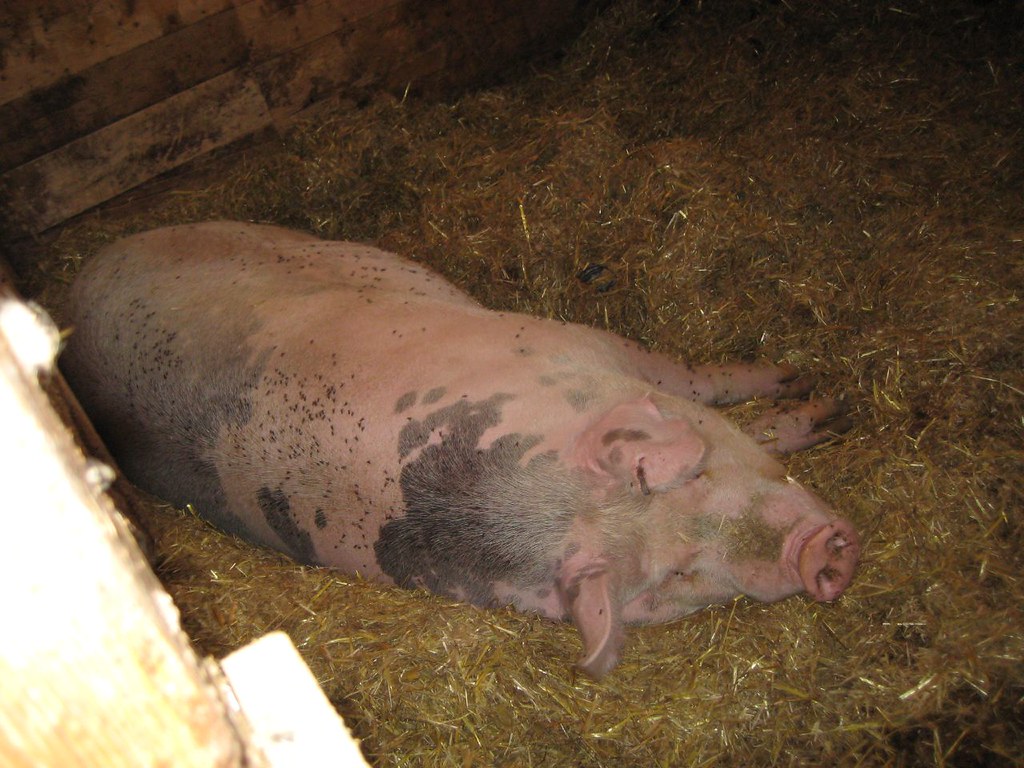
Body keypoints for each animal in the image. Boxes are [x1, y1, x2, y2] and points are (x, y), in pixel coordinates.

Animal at [62, 221, 860, 678]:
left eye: (696, 479)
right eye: (679, 576)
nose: (817, 556)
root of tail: (79, 280)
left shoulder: (585, 344)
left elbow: (698, 382)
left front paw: (809, 389)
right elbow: (703, 385)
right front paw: (823, 405)